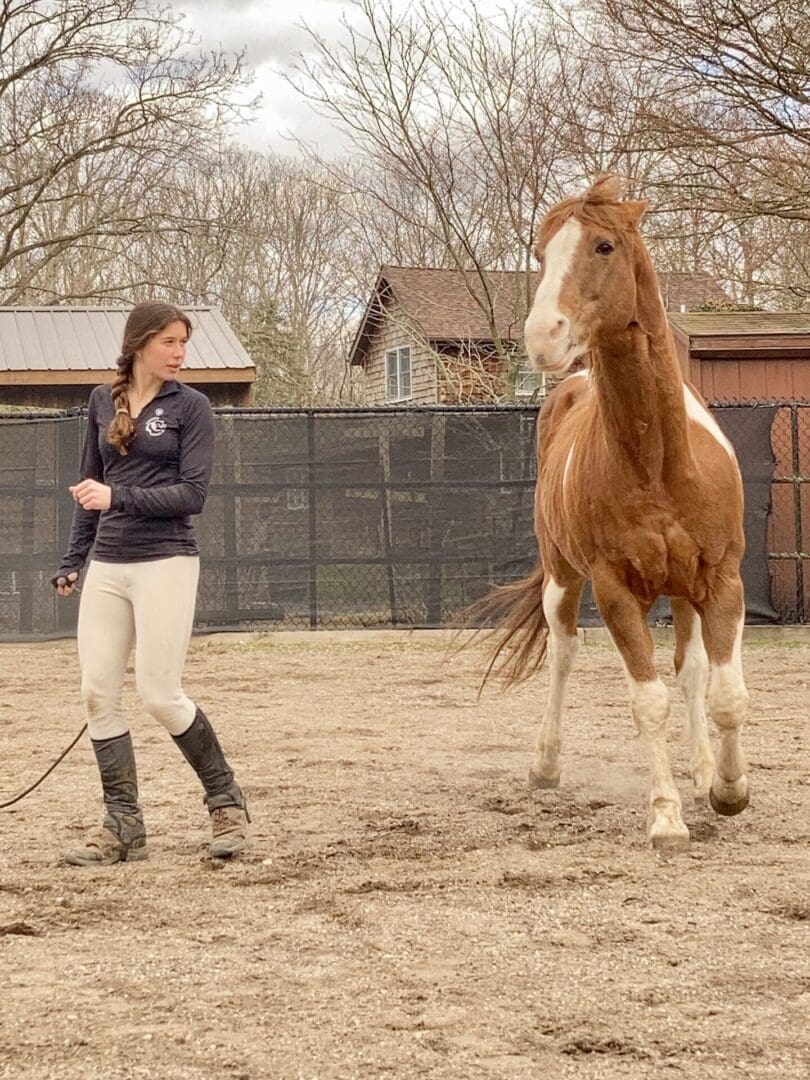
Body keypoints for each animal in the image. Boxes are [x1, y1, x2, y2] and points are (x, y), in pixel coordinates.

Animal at [479, 177, 751, 851]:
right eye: (541, 255)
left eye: (603, 246)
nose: (543, 335)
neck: (658, 461)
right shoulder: (614, 589)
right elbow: (646, 701)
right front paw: (667, 817)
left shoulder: (722, 580)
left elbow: (723, 692)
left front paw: (727, 788)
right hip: (562, 578)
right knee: (563, 653)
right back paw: (546, 766)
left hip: (683, 591)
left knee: (691, 670)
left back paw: (703, 769)